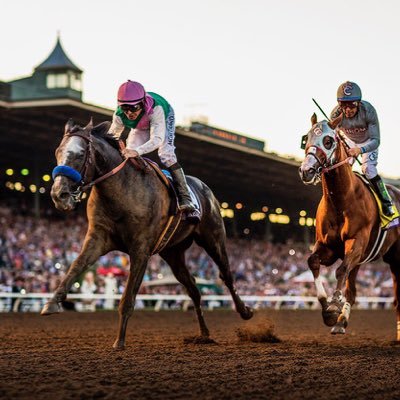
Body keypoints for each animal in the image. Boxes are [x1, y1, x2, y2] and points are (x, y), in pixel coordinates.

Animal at [41, 120, 253, 348]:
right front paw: (52, 303)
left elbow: (128, 297)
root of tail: (204, 187)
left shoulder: (141, 249)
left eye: (80, 154)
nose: (59, 195)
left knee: (226, 275)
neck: (121, 191)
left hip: (213, 238)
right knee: (193, 289)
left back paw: (245, 311)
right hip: (173, 253)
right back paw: (204, 334)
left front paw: (119, 341)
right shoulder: (98, 238)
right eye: (58, 152)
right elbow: (76, 266)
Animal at [298, 113, 400, 338]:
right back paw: (341, 322)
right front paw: (327, 310)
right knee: (353, 292)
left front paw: (334, 303)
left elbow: (340, 270)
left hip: (395, 258)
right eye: (306, 138)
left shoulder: (357, 242)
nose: (306, 171)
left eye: (328, 140)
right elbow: (312, 261)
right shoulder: (327, 247)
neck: (341, 200)